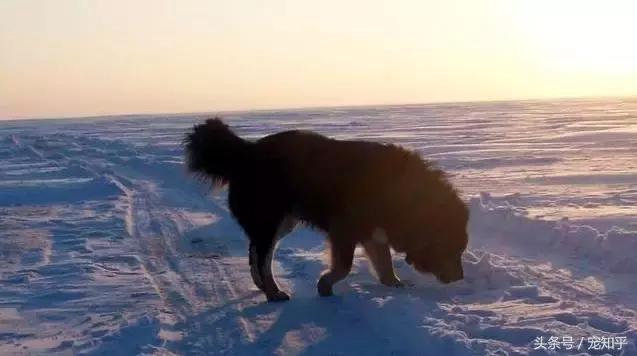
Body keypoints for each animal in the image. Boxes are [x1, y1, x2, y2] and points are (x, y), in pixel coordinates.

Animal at [184, 118, 468, 302]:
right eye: (453, 249)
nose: (460, 278)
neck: (405, 197)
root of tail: (246, 151)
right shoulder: (343, 229)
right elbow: (344, 266)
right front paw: (324, 285)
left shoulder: (372, 231)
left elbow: (384, 262)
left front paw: (394, 284)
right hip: (272, 220)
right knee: (262, 257)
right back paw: (273, 291)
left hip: (282, 222)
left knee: (256, 252)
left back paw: (263, 286)